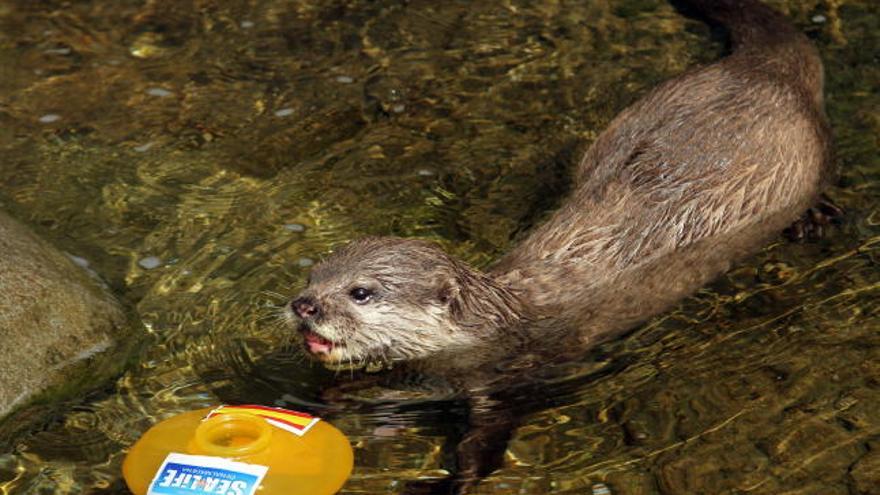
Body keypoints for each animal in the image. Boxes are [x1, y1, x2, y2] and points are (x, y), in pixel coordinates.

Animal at [288, 0, 832, 492]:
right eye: (312, 276)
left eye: (360, 292)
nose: (304, 305)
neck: (498, 325)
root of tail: (763, 70)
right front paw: (319, 400)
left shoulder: (517, 377)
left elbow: (486, 443)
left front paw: (452, 482)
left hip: (805, 153)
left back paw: (816, 218)